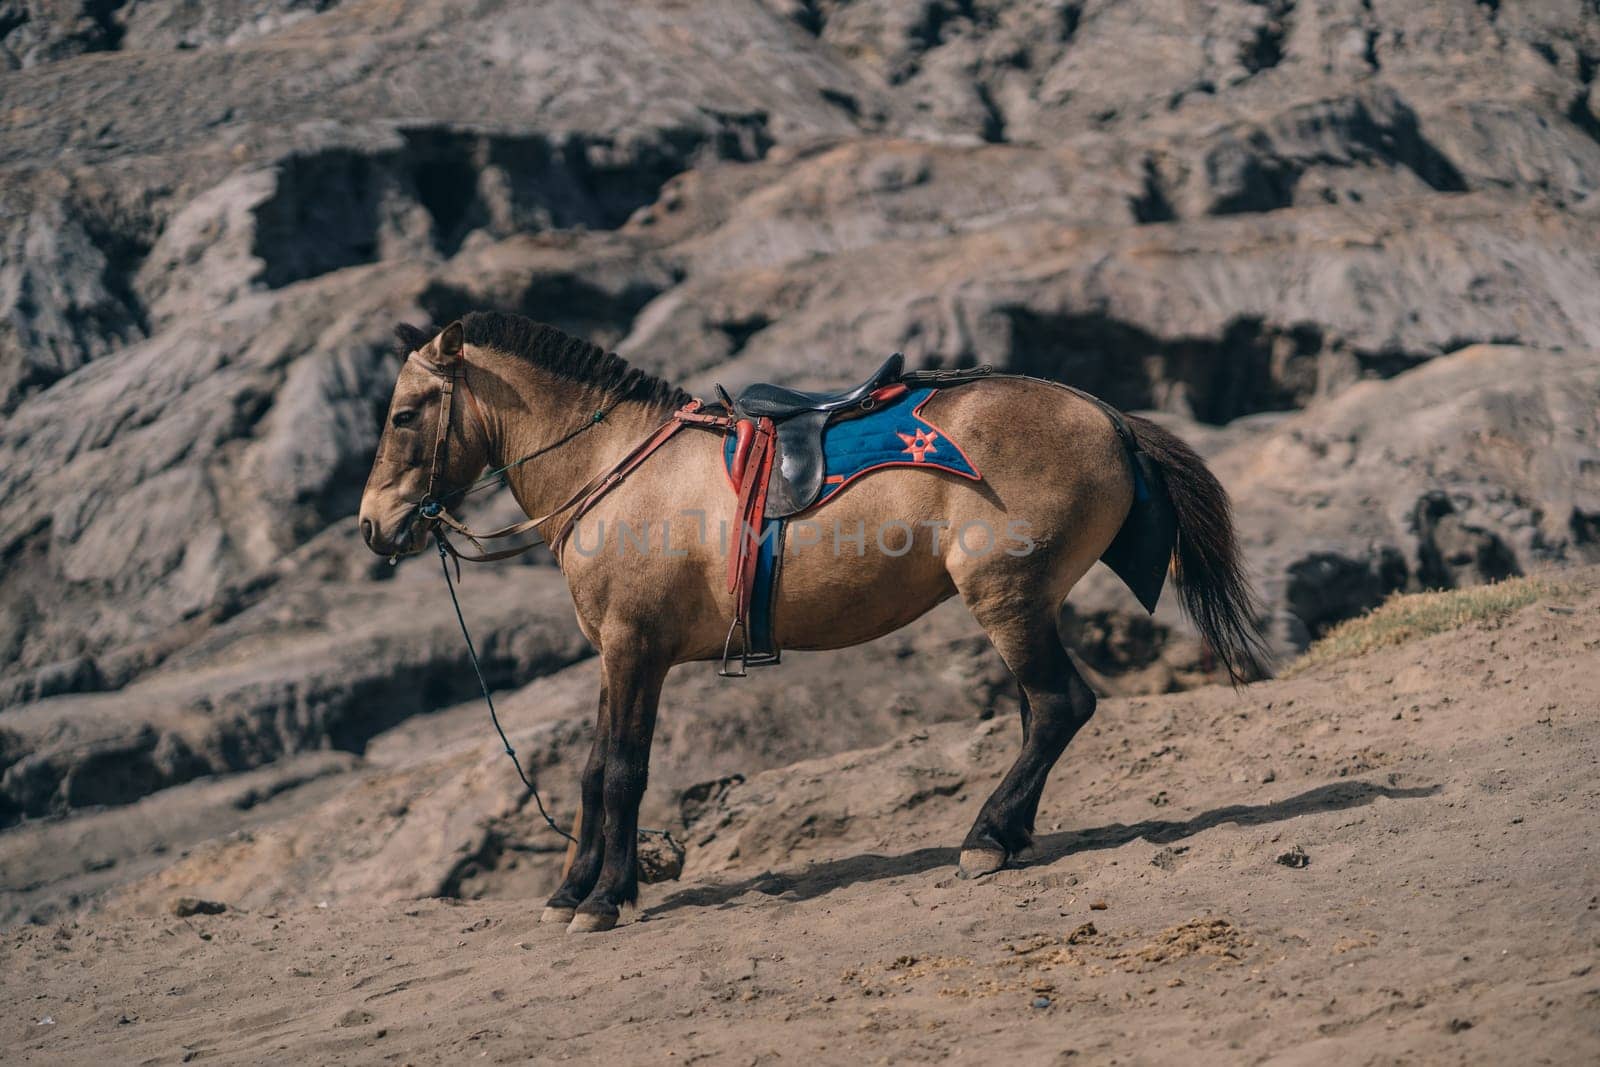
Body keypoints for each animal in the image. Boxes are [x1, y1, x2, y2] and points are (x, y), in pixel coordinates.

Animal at [360, 308, 1260, 934]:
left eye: (405, 415)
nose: (374, 525)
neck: (618, 469)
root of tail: (1108, 417)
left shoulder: (635, 648)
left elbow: (621, 772)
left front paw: (606, 896)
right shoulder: (615, 654)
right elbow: (589, 773)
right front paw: (572, 888)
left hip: (1007, 598)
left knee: (1060, 706)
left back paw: (986, 835)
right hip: (1023, 604)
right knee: (1043, 712)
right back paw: (1010, 832)